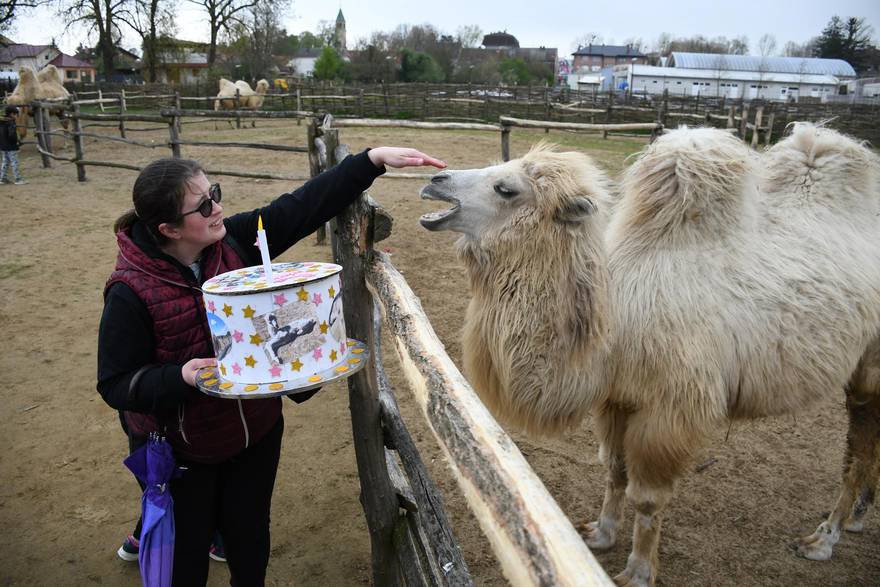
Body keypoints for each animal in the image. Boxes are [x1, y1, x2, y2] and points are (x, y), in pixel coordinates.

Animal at [420, 126, 880, 584]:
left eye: (507, 188)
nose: (435, 180)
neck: (617, 324)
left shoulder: (671, 410)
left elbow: (647, 497)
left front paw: (638, 571)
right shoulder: (616, 398)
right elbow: (614, 470)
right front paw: (601, 533)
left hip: (870, 369)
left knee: (858, 449)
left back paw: (824, 538)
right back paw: (858, 517)